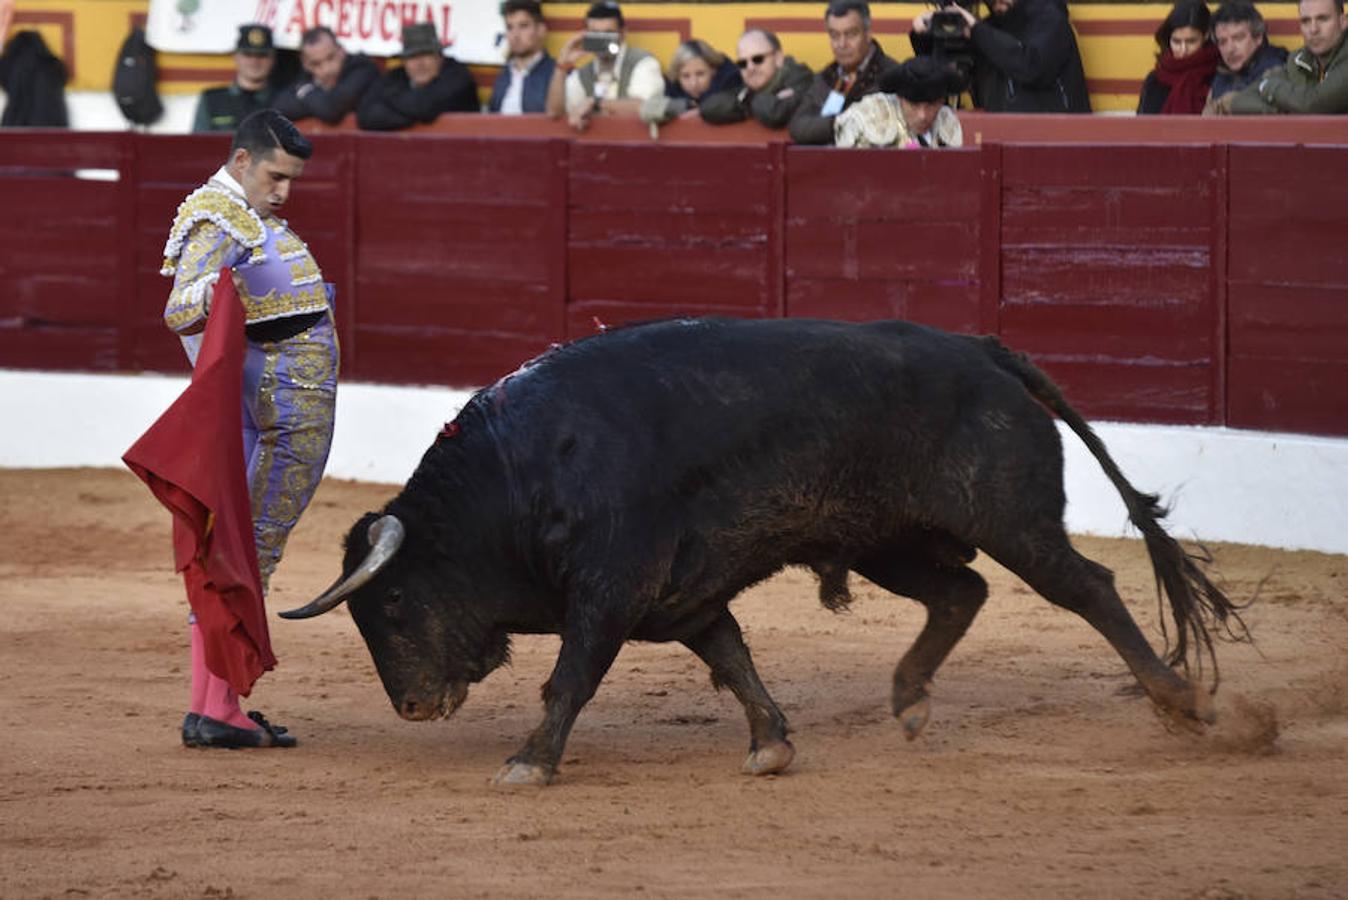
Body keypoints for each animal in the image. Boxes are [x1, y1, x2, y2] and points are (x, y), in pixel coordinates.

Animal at [279, 319, 1245, 781]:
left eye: (391, 600)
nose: (411, 707)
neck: (521, 474)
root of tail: (981, 349)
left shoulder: (610, 590)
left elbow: (572, 675)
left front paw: (528, 762)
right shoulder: (684, 597)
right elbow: (733, 657)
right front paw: (773, 744)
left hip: (1011, 518)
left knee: (1087, 587)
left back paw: (1185, 703)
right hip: (883, 539)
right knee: (959, 594)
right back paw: (908, 699)